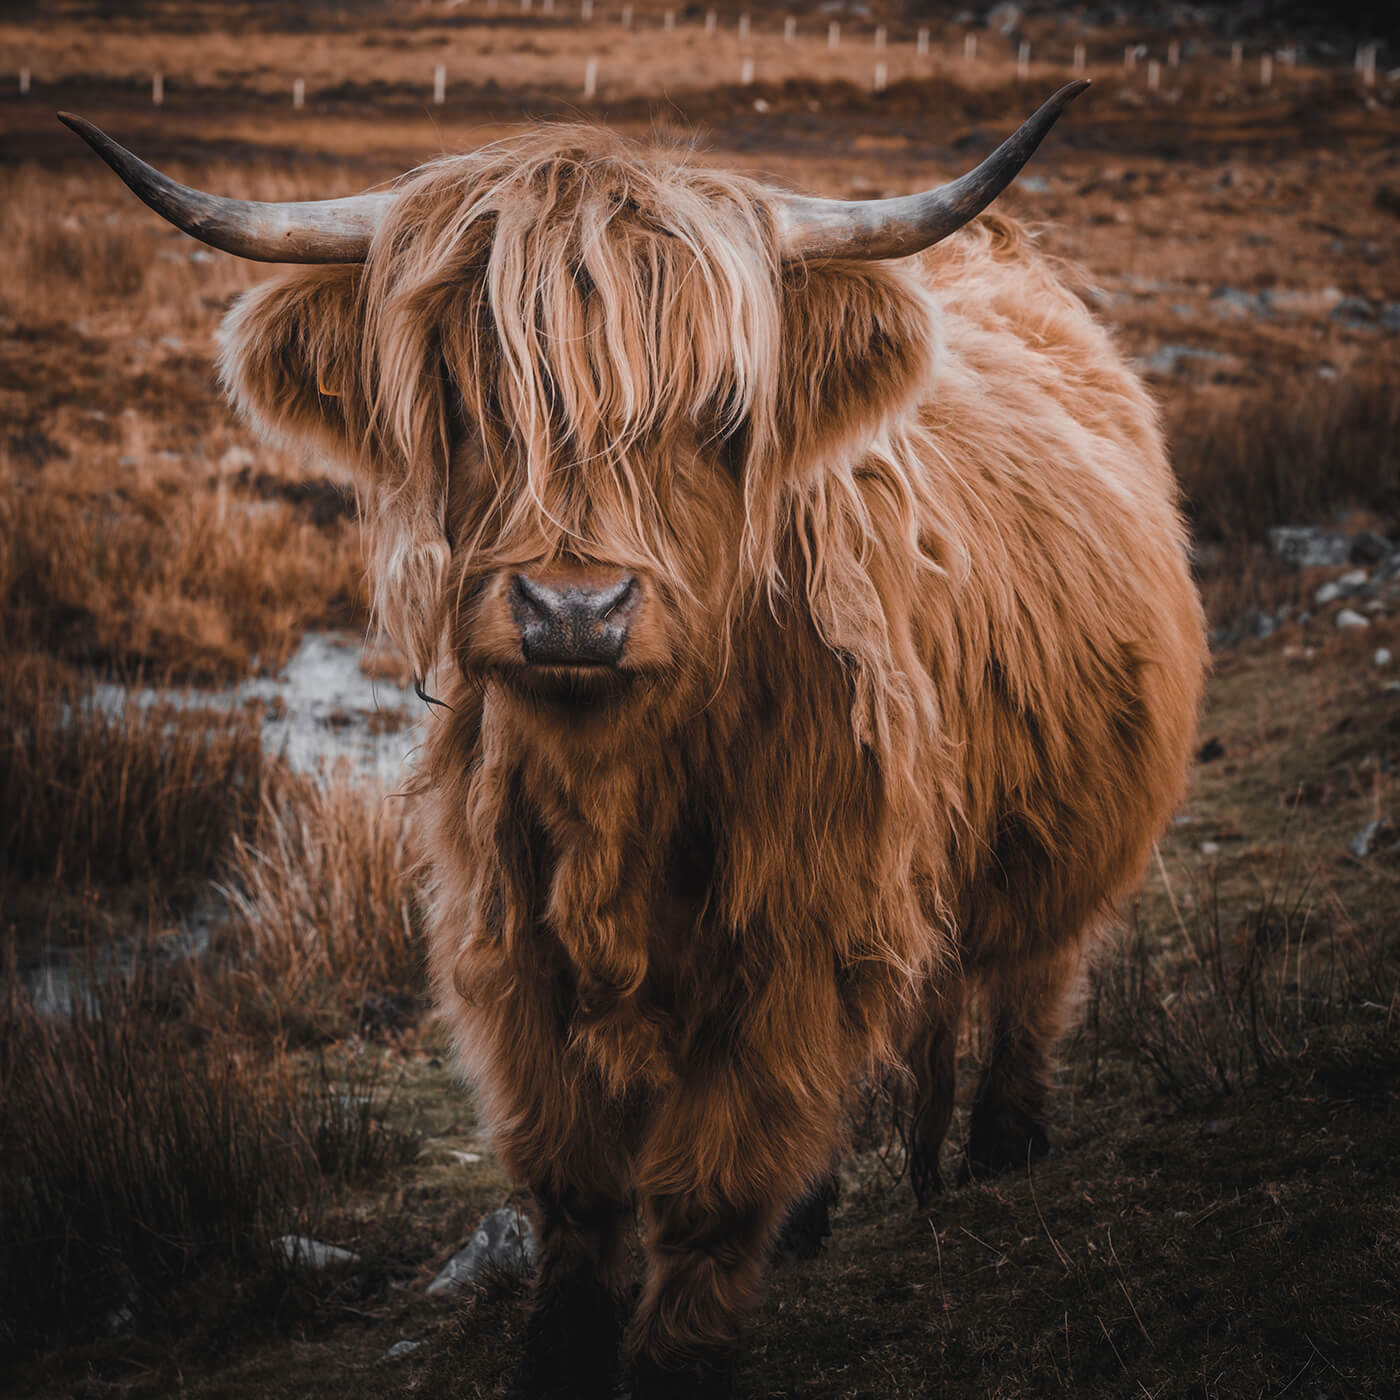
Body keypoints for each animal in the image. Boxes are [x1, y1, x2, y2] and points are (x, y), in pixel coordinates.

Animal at [63, 84, 1206, 1398]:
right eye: (469, 395)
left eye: (716, 413)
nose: (573, 610)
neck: (619, 779)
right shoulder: (508, 930)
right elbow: (571, 1177)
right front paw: (561, 1345)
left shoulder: (797, 934)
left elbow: (713, 1177)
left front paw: (675, 1353)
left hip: (1064, 825)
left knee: (1031, 970)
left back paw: (1008, 1142)